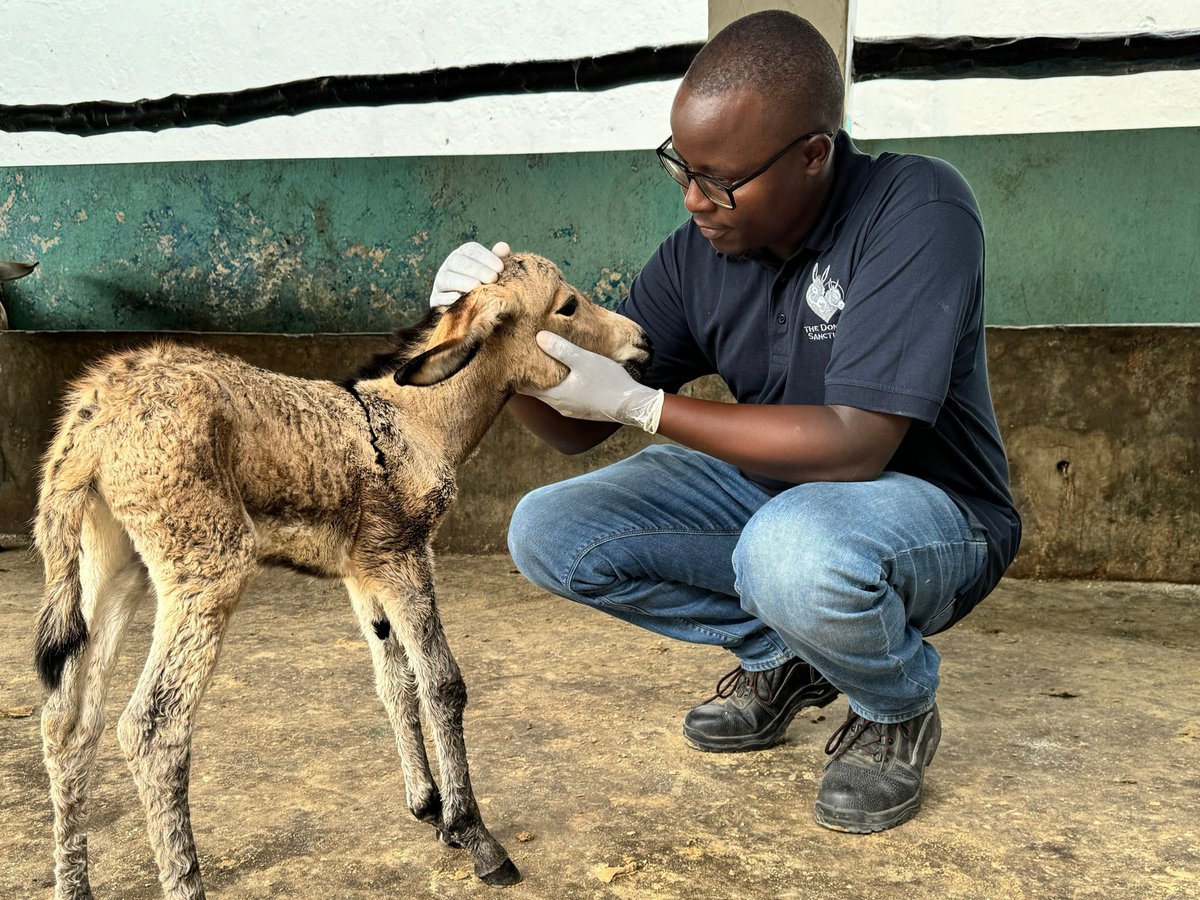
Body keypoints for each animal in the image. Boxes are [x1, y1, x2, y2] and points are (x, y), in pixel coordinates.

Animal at [32, 250, 652, 897]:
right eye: (568, 305)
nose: (642, 341)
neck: (414, 419)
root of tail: (96, 409)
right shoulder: (405, 555)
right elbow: (442, 682)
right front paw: (472, 833)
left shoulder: (365, 570)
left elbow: (394, 679)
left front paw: (427, 804)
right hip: (206, 564)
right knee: (152, 727)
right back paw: (182, 878)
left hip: (111, 561)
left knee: (68, 722)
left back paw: (72, 883)